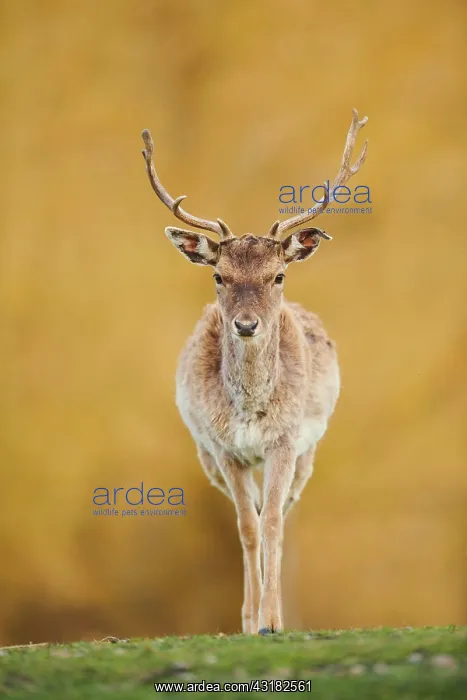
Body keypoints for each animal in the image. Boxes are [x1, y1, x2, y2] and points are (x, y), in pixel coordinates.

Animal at [141, 109, 368, 635]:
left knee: (281, 511)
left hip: (309, 451)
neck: (250, 411)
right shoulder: (224, 450)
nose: (246, 324)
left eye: (278, 275)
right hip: (206, 456)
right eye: (218, 275)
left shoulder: (285, 442)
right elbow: (247, 528)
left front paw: (272, 620)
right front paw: (249, 619)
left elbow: (272, 524)